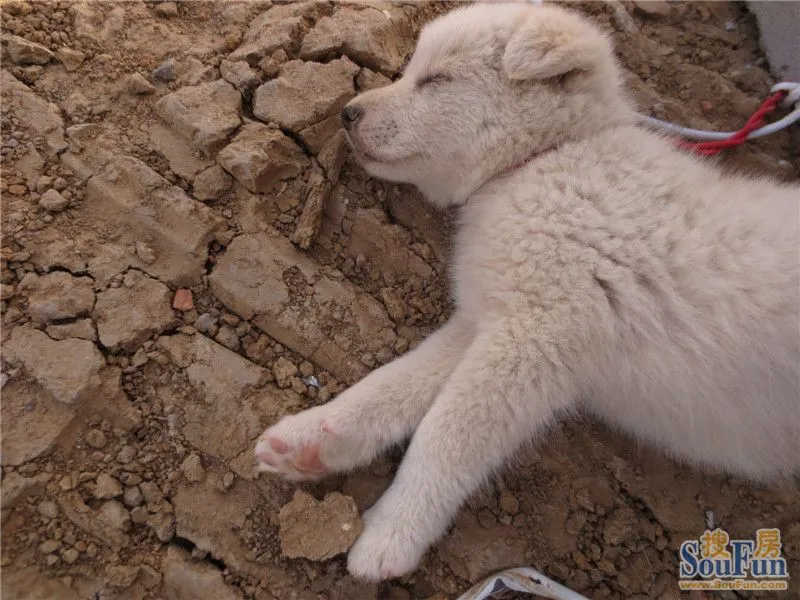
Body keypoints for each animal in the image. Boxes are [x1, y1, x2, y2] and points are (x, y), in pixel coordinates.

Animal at [258, 0, 800, 580]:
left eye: (436, 79)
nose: (347, 113)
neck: (543, 161)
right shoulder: (487, 319)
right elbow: (393, 384)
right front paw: (314, 438)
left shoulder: (532, 341)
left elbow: (445, 436)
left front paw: (392, 533)